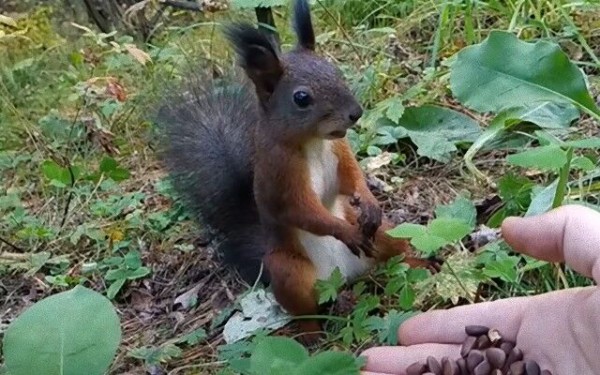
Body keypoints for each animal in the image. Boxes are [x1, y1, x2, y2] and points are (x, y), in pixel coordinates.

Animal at [155, 0, 438, 346]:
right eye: (301, 98)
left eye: (336, 71)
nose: (355, 113)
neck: (313, 142)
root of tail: (343, 276)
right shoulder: (280, 175)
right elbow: (301, 211)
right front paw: (344, 231)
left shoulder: (340, 151)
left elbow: (351, 178)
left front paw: (369, 202)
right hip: (289, 271)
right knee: (305, 310)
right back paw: (312, 335)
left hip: (384, 236)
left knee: (394, 251)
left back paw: (423, 263)